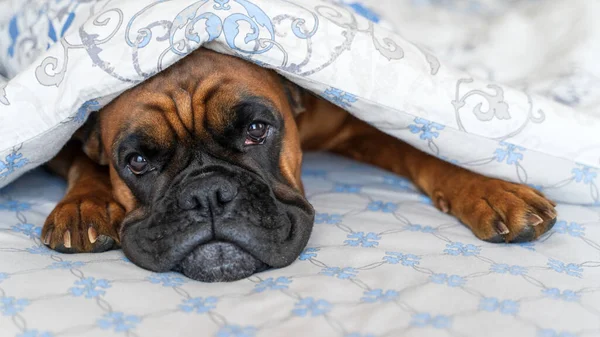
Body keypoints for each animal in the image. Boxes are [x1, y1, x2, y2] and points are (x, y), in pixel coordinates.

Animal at [41, 48, 556, 280]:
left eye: (256, 130)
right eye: (137, 161)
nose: (206, 194)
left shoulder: (361, 126)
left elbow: (425, 147)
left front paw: (491, 188)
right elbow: (84, 162)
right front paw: (84, 206)